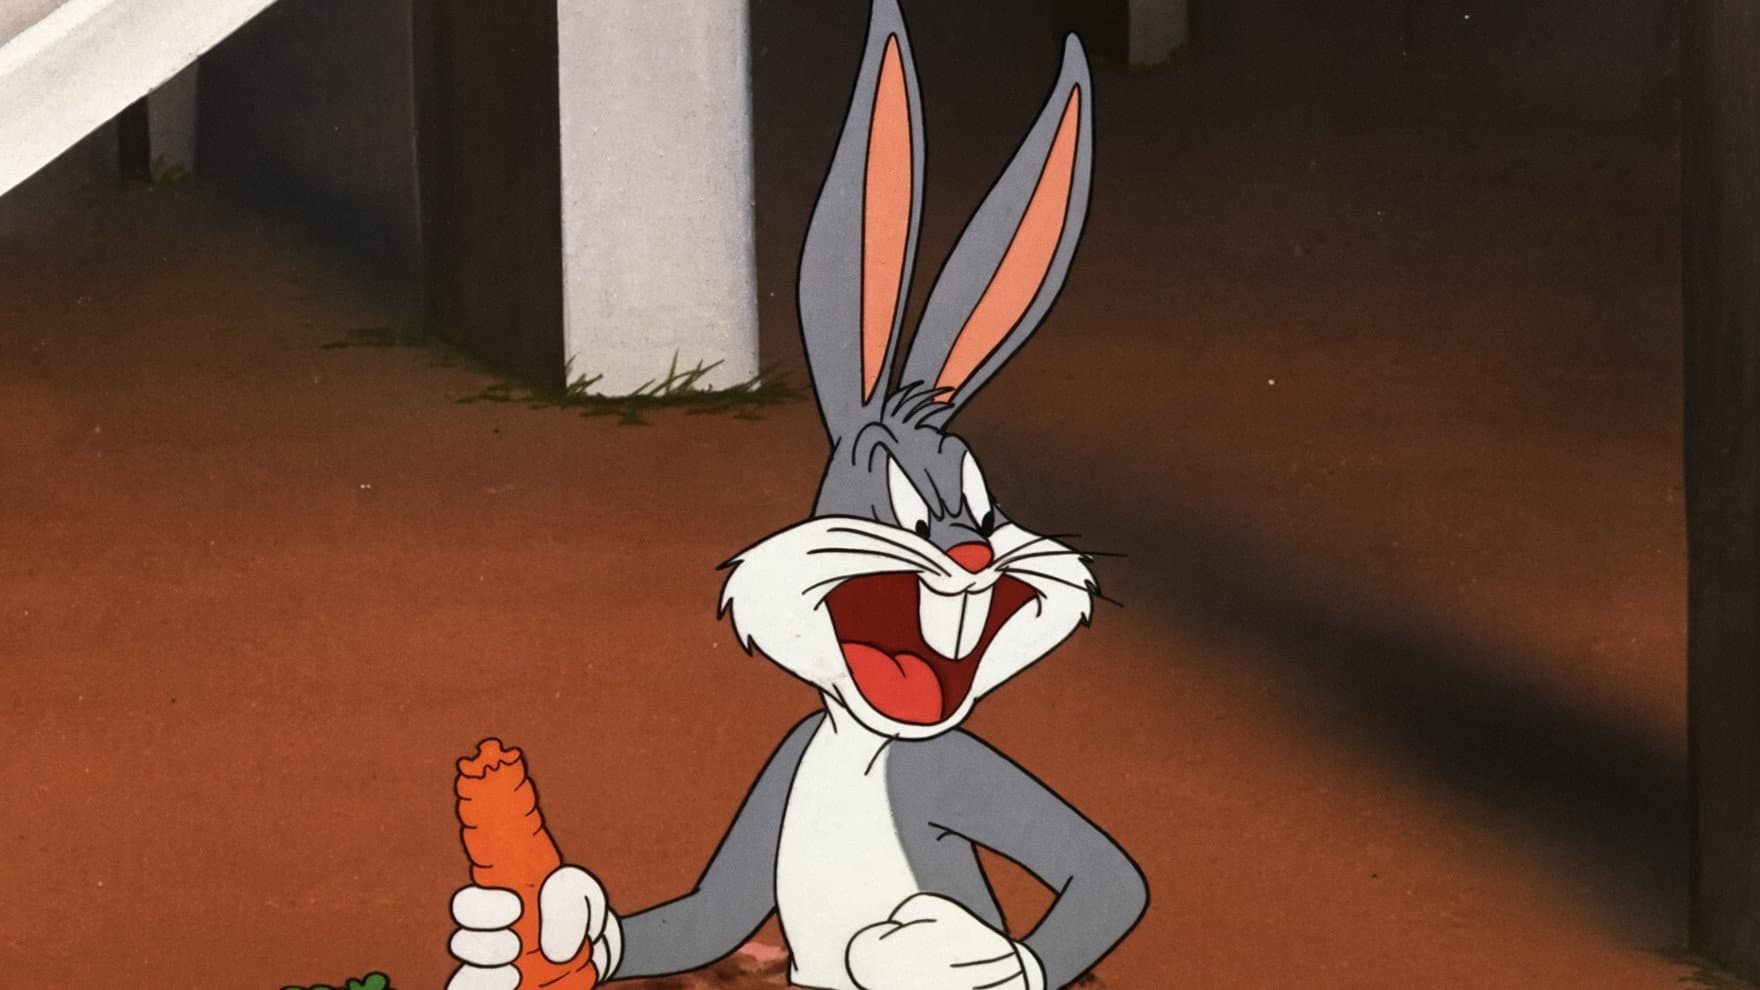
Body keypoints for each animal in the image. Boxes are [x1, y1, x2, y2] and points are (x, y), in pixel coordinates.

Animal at [448, 3, 1145, 988]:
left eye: (983, 503)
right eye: (899, 501)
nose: (974, 552)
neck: (864, 743)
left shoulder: (948, 773)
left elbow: (1106, 875)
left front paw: (956, 956)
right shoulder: (780, 766)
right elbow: (705, 911)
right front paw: (538, 922)